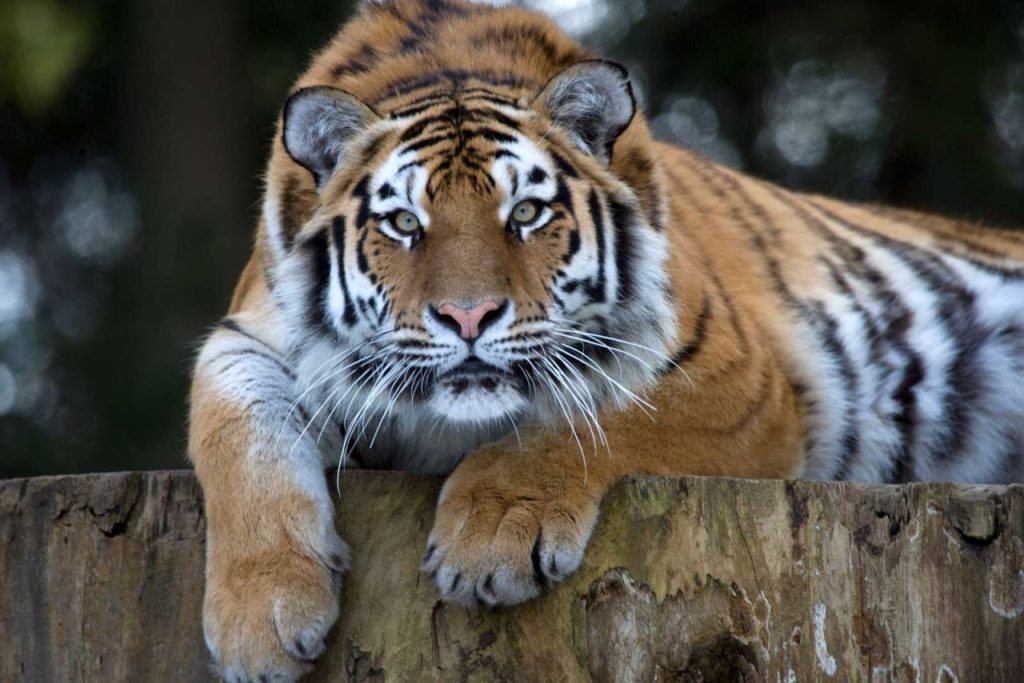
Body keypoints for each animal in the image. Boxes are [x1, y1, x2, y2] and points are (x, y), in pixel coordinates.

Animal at [184, 2, 1024, 679]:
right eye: (403, 223)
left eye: (525, 213)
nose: (467, 317)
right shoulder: (246, 334)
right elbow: (237, 431)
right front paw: (259, 617)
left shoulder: (736, 375)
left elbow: (596, 421)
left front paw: (492, 531)